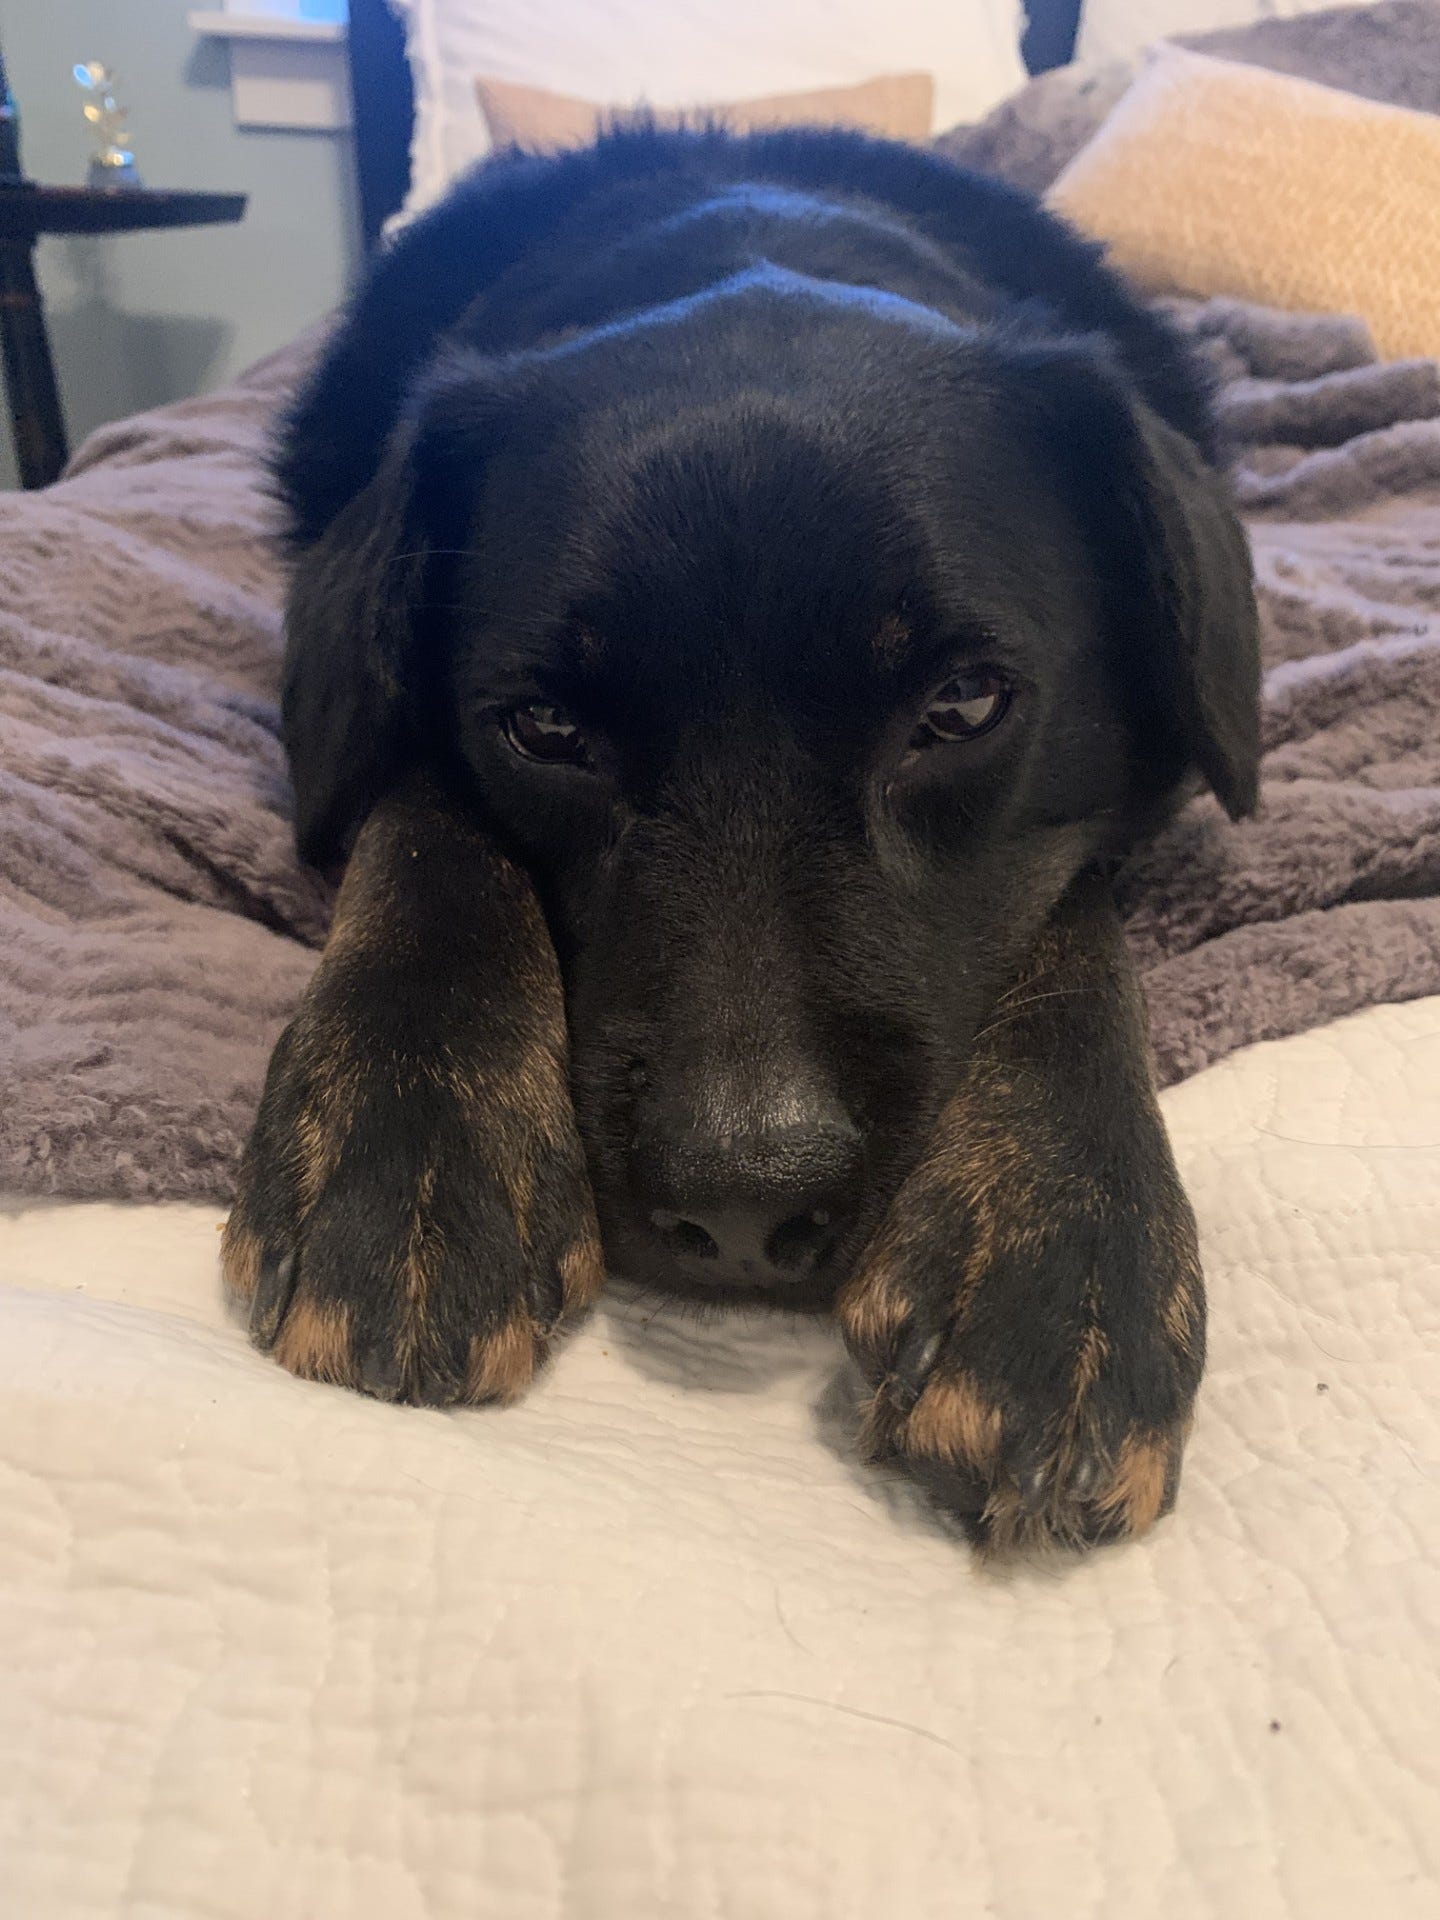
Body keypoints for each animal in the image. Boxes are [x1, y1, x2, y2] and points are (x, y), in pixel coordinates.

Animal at [223, 125, 1260, 1552]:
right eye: (545, 726)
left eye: (964, 703)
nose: (745, 1204)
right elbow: (424, 813)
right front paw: (412, 1128)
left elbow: (1072, 920)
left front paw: (1063, 1246)